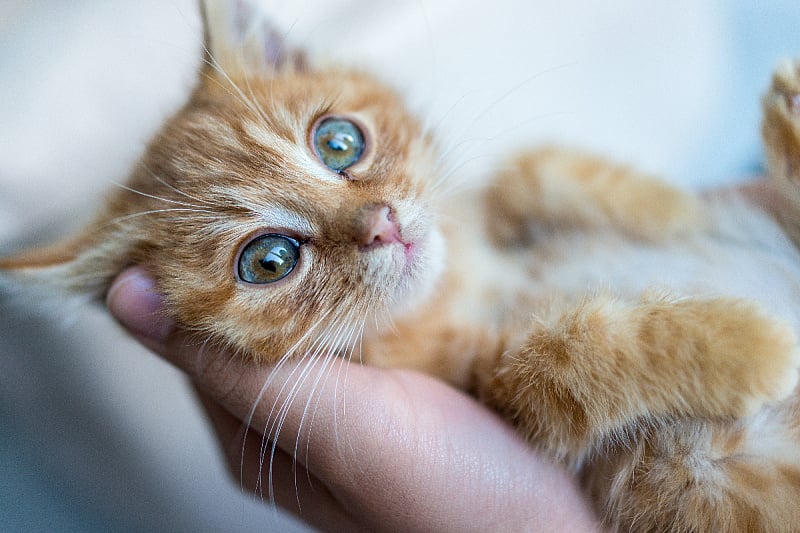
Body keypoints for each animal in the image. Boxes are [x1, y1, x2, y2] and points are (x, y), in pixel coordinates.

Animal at [2, 0, 800, 530]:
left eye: (339, 143)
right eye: (269, 259)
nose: (382, 225)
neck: (466, 281)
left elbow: (531, 167)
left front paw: (677, 211)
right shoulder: (513, 400)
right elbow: (563, 353)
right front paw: (747, 344)